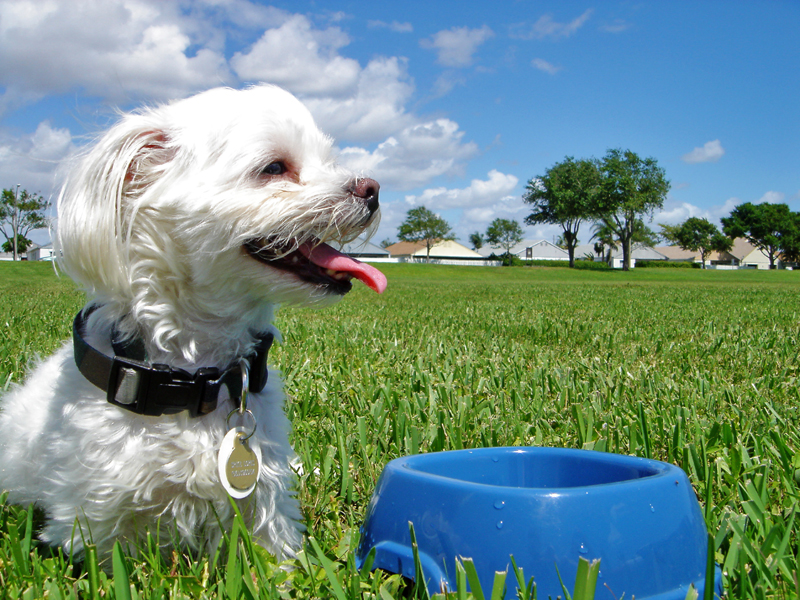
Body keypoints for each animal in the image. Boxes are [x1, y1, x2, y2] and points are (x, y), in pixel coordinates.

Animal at [0, 85, 388, 564]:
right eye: (274, 168)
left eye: (327, 159)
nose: (372, 189)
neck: (196, 378)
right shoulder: (92, 525)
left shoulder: (266, 502)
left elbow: (274, 557)